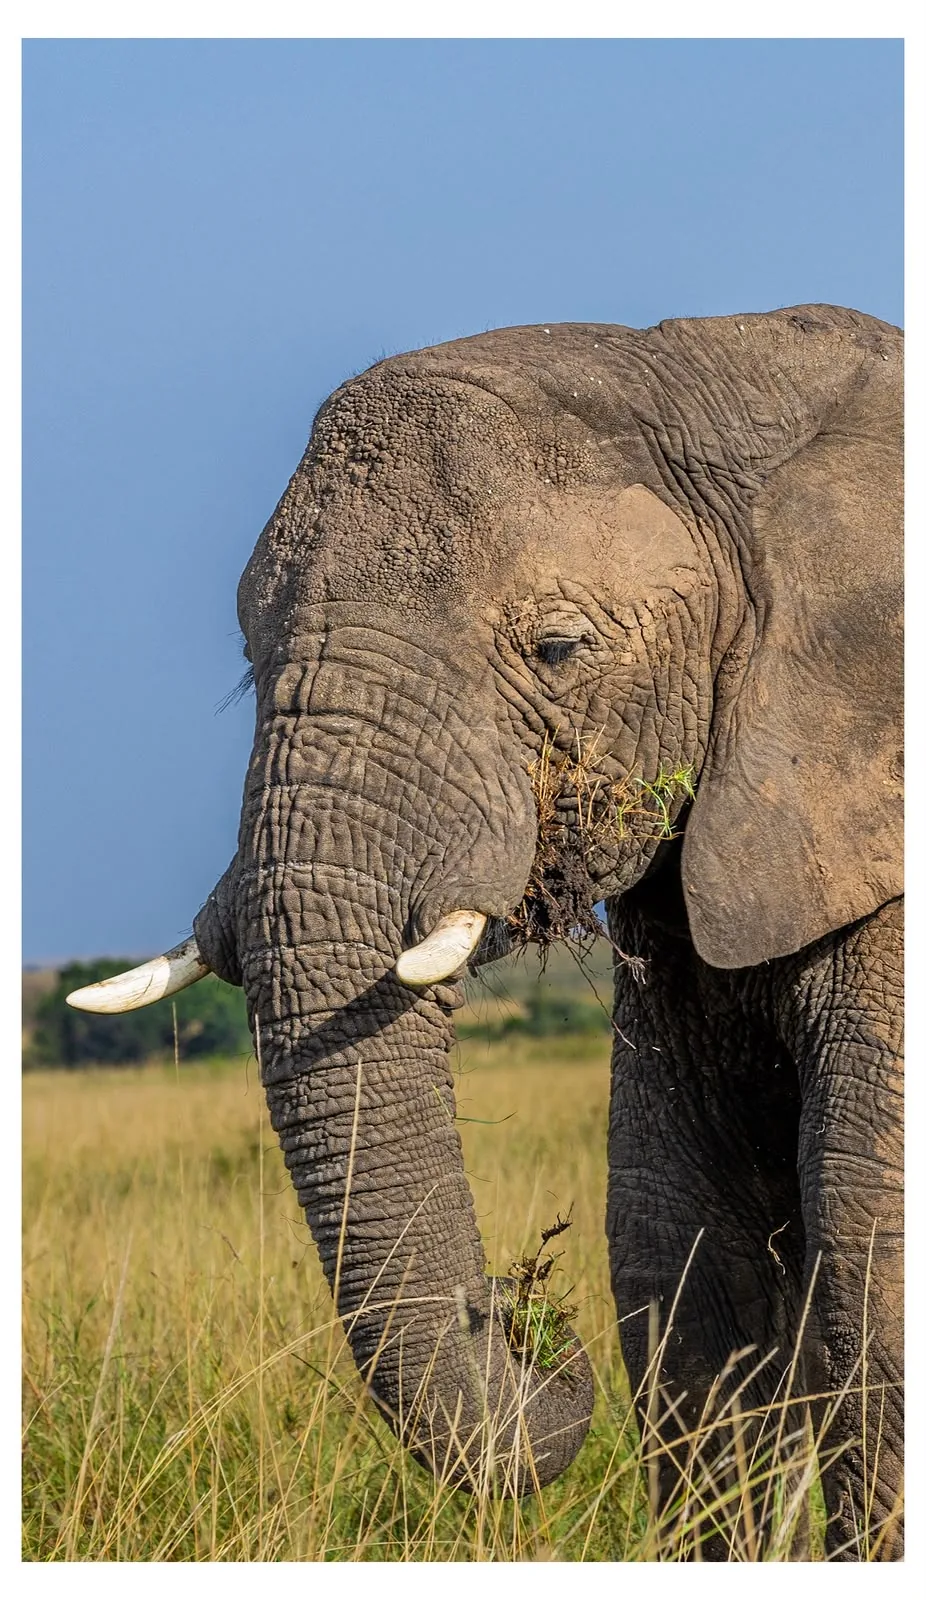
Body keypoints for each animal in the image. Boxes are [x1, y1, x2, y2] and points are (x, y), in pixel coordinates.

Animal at [68, 304, 903, 1559]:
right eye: (250, 658)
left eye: (557, 648)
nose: (520, 1314)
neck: (710, 369)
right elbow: (681, 1252)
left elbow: (866, 1250)